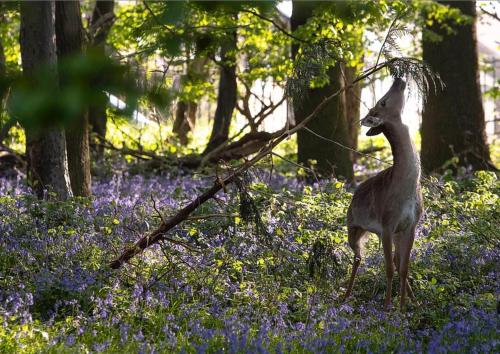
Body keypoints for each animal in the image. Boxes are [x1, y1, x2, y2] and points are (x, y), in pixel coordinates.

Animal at [344, 77, 422, 310]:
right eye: (382, 101)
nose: (398, 79)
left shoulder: (410, 225)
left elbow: (404, 267)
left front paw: (403, 307)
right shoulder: (387, 224)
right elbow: (387, 268)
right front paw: (388, 307)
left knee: (394, 261)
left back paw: (415, 301)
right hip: (353, 226)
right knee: (358, 257)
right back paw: (345, 295)